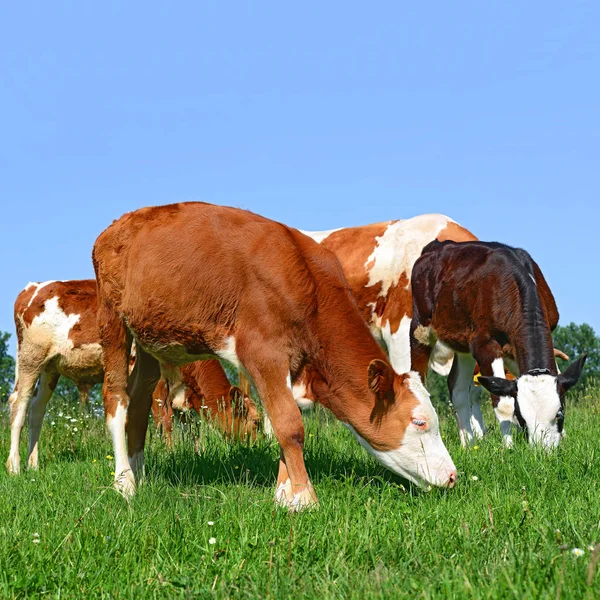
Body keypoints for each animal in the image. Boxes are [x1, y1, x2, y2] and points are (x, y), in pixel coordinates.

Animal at [410, 241, 584, 448]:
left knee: (457, 388)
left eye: (559, 414)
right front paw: (508, 448)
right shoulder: (485, 346)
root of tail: (438, 244)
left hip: (464, 343)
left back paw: (468, 444)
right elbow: (504, 404)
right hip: (420, 328)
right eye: (522, 417)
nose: (543, 451)